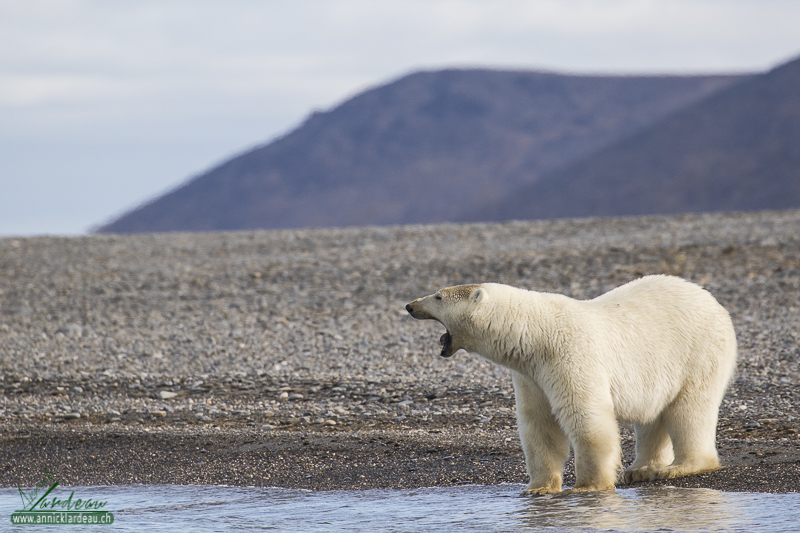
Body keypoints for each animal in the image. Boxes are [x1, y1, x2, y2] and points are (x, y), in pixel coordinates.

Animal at [406, 274, 736, 494]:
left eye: (438, 296)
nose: (409, 305)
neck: (535, 333)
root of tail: (712, 300)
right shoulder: (531, 375)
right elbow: (539, 424)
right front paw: (538, 487)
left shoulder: (569, 355)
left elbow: (586, 417)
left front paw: (588, 486)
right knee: (652, 416)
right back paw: (641, 470)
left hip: (699, 352)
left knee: (689, 409)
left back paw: (679, 467)